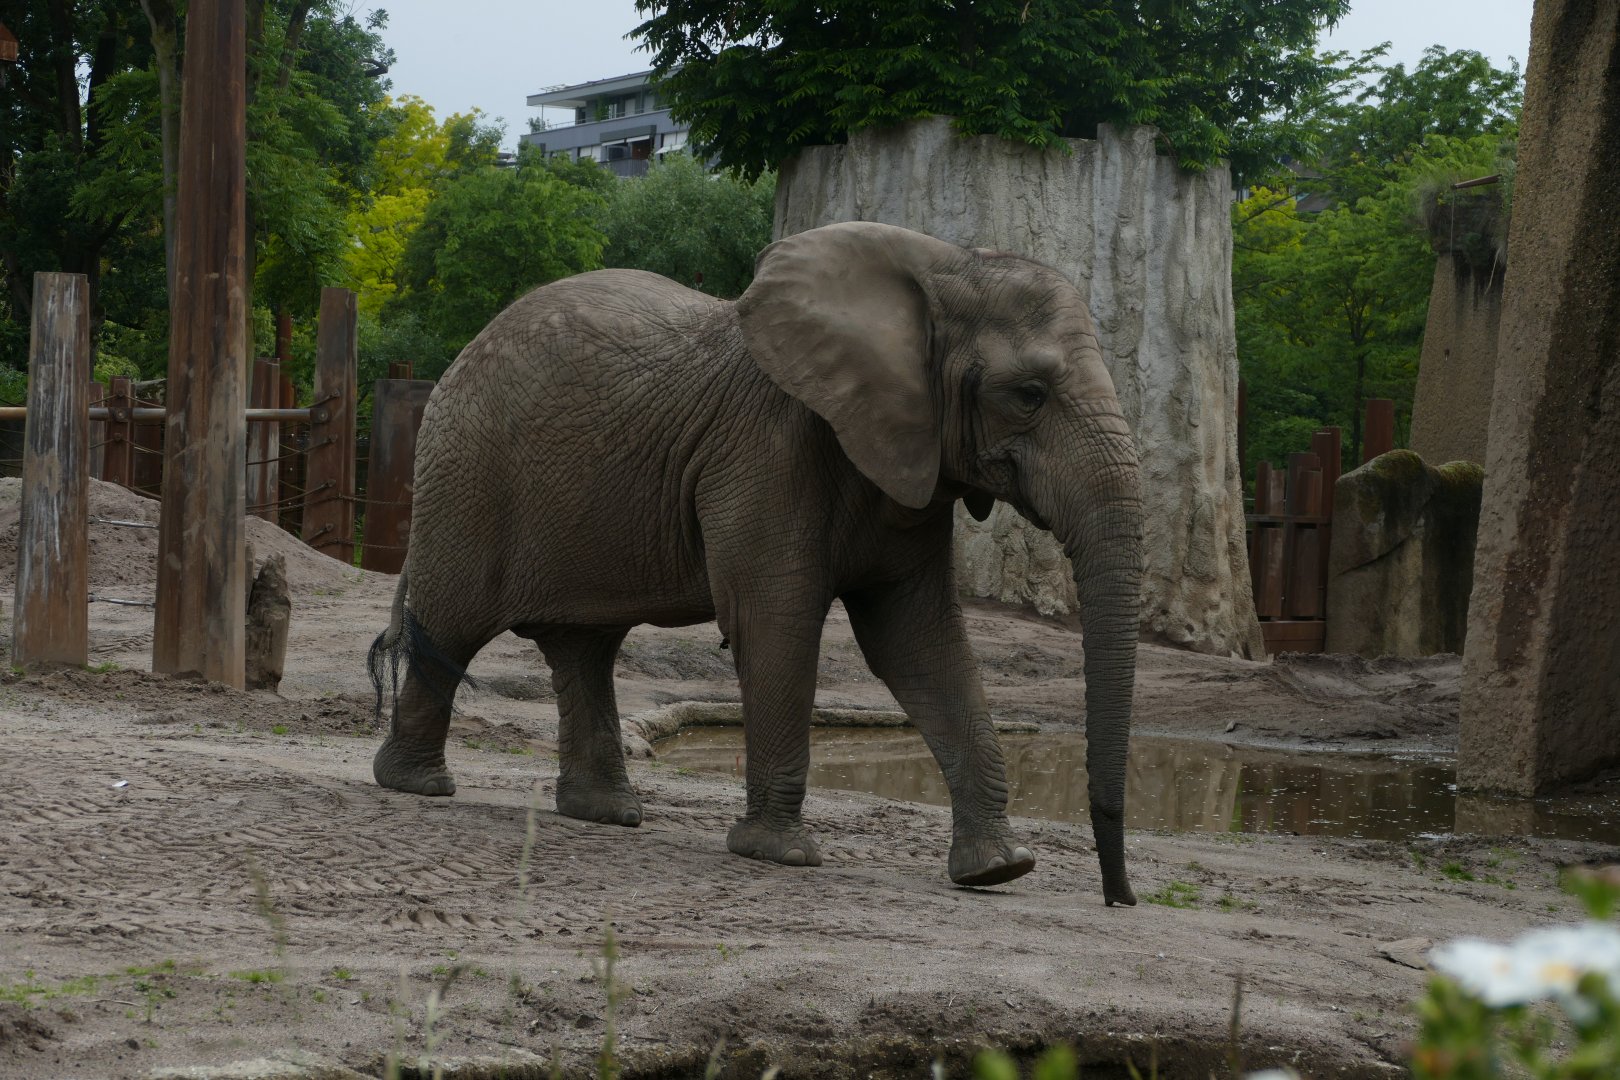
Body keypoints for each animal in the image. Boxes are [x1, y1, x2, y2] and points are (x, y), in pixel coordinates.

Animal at [369, 221, 1143, 905]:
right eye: (1029, 395)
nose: (1120, 898)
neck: (942, 265)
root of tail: (458, 357)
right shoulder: (768, 449)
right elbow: (778, 621)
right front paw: (780, 856)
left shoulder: (908, 465)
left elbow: (918, 641)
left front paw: (999, 870)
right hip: (467, 472)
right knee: (454, 619)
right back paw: (417, 786)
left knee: (584, 646)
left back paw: (606, 813)